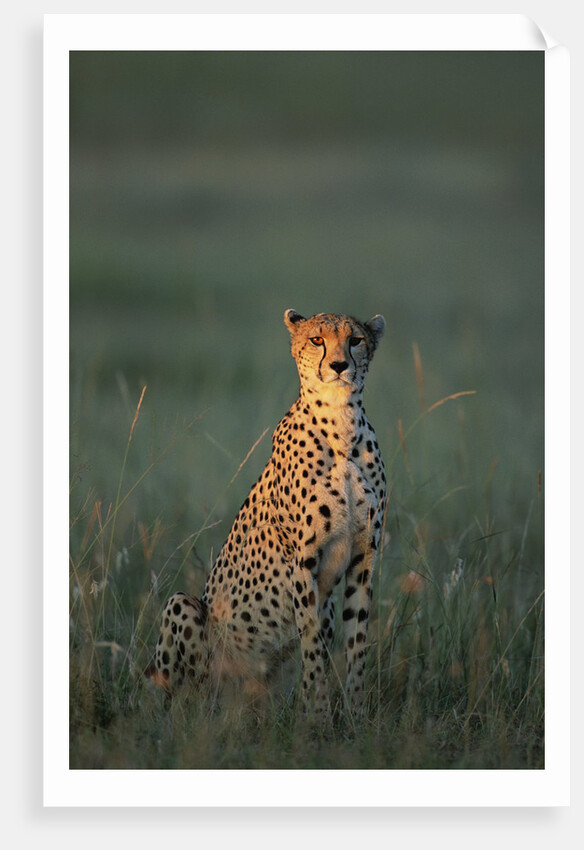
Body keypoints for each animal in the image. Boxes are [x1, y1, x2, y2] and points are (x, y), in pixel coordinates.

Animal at [150, 309, 387, 716]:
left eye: (355, 340)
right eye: (317, 340)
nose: (340, 365)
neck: (341, 423)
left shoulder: (363, 556)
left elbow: (356, 642)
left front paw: (356, 713)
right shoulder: (303, 559)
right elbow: (311, 644)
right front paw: (318, 714)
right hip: (183, 611)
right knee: (185, 694)